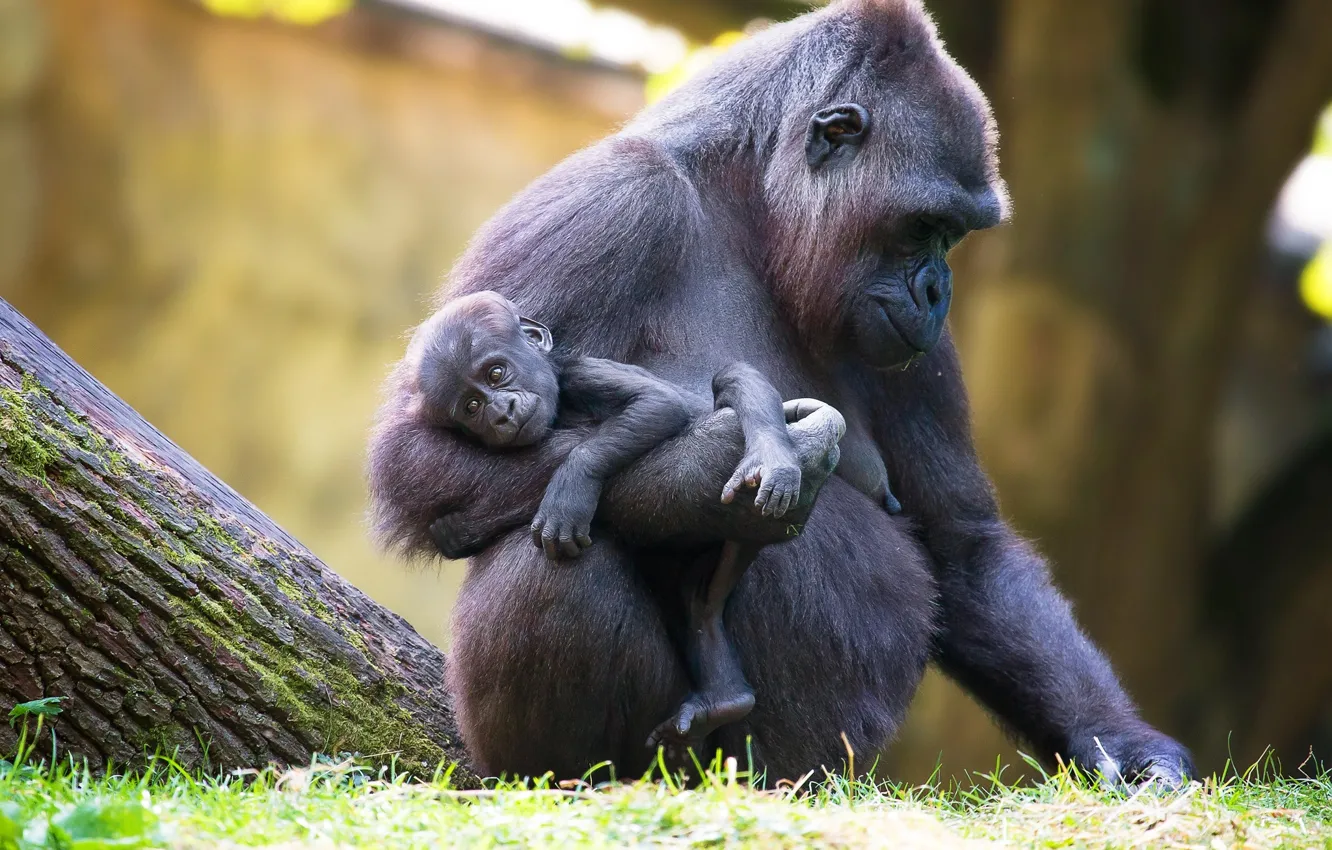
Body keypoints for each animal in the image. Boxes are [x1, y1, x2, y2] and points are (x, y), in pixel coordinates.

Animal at [402, 289, 841, 749]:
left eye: (497, 372)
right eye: (471, 406)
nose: (501, 412)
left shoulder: (582, 372)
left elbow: (657, 406)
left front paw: (573, 483)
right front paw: (461, 531)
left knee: (729, 384)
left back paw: (771, 455)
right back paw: (722, 687)